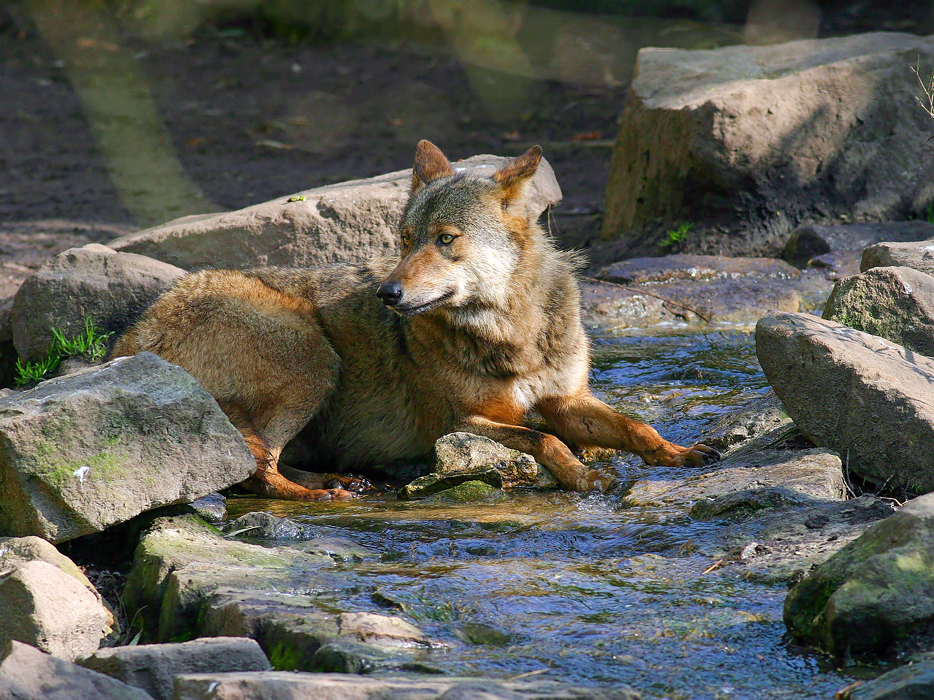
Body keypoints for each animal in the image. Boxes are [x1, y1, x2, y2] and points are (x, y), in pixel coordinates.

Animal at [110, 141, 718, 500]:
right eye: (404, 240)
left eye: (445, 240)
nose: (388, 293)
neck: (510, 334)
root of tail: (131, 337)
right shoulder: (460, 420)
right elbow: (545, 441)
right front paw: (583, 475)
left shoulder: (566, 400)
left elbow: (635, 427)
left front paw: (680, 455)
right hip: (315, 361)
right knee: (257, 468)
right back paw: (318, 493)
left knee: (257, 458)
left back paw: (336, 478)